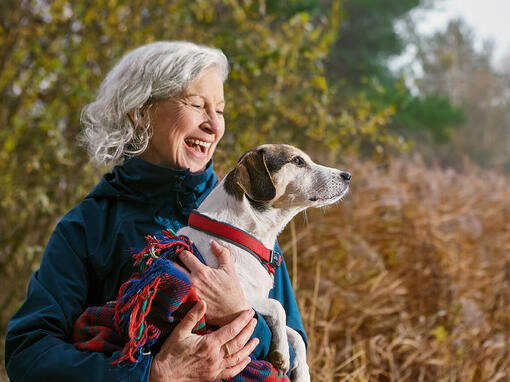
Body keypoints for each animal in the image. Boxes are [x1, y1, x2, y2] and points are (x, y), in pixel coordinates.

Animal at [176, 144, 350, 382]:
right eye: (297, 161)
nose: (348, 175)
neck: (241, 235)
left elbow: (294, 333)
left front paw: (302, 371)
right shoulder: (235, 297)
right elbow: (278, 307)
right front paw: (282, 354)